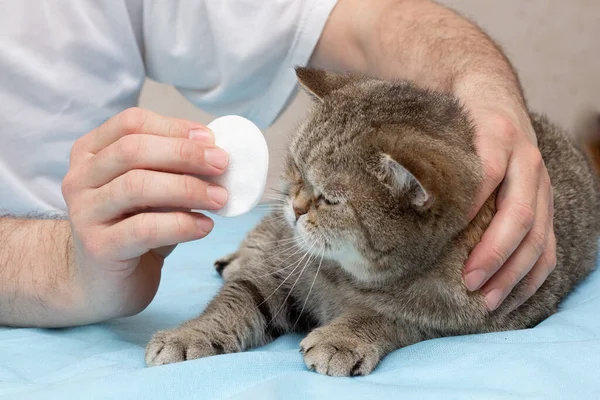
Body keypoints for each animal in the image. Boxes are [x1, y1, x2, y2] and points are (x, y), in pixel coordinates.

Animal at [145, 67, 600, 376]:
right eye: (296, 169)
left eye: (330, 198)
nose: (296, 206)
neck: (349, 275)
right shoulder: (277, 275)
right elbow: (234, 302)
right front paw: (189, 335)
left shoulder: (473, 318)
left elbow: (390, 317)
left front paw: (343, 336)